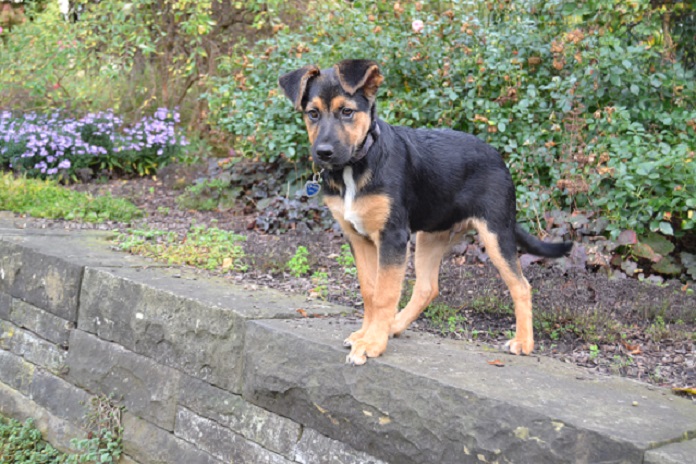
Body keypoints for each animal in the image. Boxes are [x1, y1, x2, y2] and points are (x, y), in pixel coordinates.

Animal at [280, 59, 572, 364]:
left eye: (347, 112)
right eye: (312, 113)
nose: (323, 152)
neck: (358, 163)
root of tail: (499, 158)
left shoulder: (393, 236)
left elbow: (384, 294)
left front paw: (372, 343)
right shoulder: (358, 238)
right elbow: (370, 291)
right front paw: (367, 334)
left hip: (496, 231)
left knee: (521, 285)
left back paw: (523, 342)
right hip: (431, 235)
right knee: (427, 287)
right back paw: (394, 325)